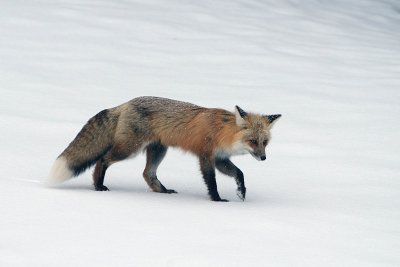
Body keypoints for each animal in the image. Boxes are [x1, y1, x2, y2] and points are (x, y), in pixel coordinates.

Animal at [46, 96, 282, 201]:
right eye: (253, 141)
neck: (222, 131)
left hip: (158, 150)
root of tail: (125, 103)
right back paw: (98, 186)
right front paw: (216, 200)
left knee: (147, 173)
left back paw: (163, 191)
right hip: (129, 149)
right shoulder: (206, 156)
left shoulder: (220, 159)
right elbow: (211, 182)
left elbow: (239, 174)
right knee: (102, 159)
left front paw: (241, 192)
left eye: (264, 142)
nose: (263, 158)